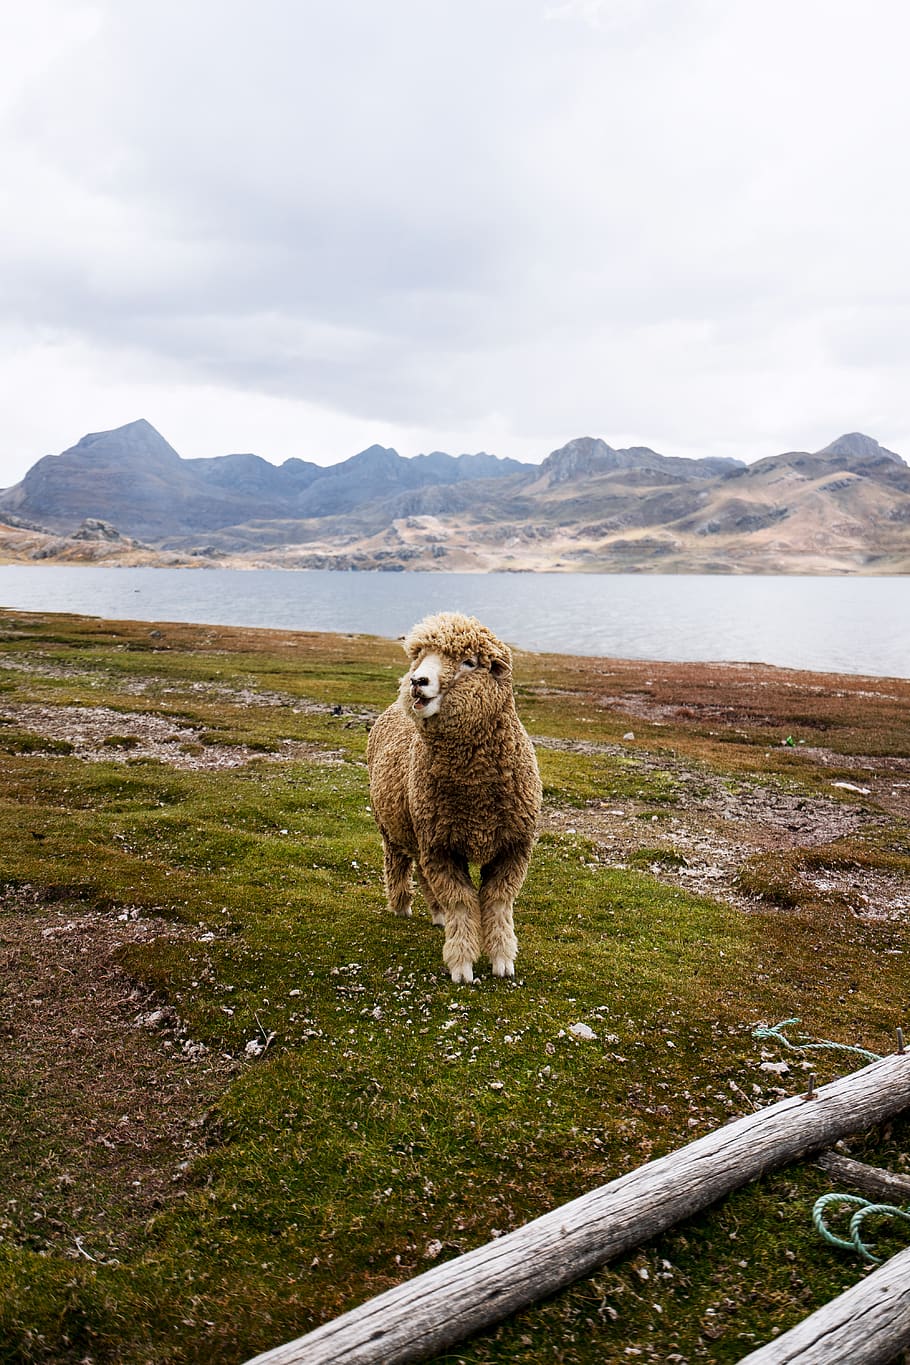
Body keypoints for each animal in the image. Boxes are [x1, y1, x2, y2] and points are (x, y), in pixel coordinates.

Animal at [367, 612, 542, 983]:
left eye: (469, 662)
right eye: (420, 655)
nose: (417, 681)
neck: (476, 794)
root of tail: (393, 707)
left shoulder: (513, 848)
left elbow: (498, 900)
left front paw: (502, 959)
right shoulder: (441, 848)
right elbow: (461, 901)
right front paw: (462, 964)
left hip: (420, 831)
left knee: (421, 871)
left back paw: (437, 914)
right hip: (393, 827)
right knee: (399, 864)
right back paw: (402, 905)